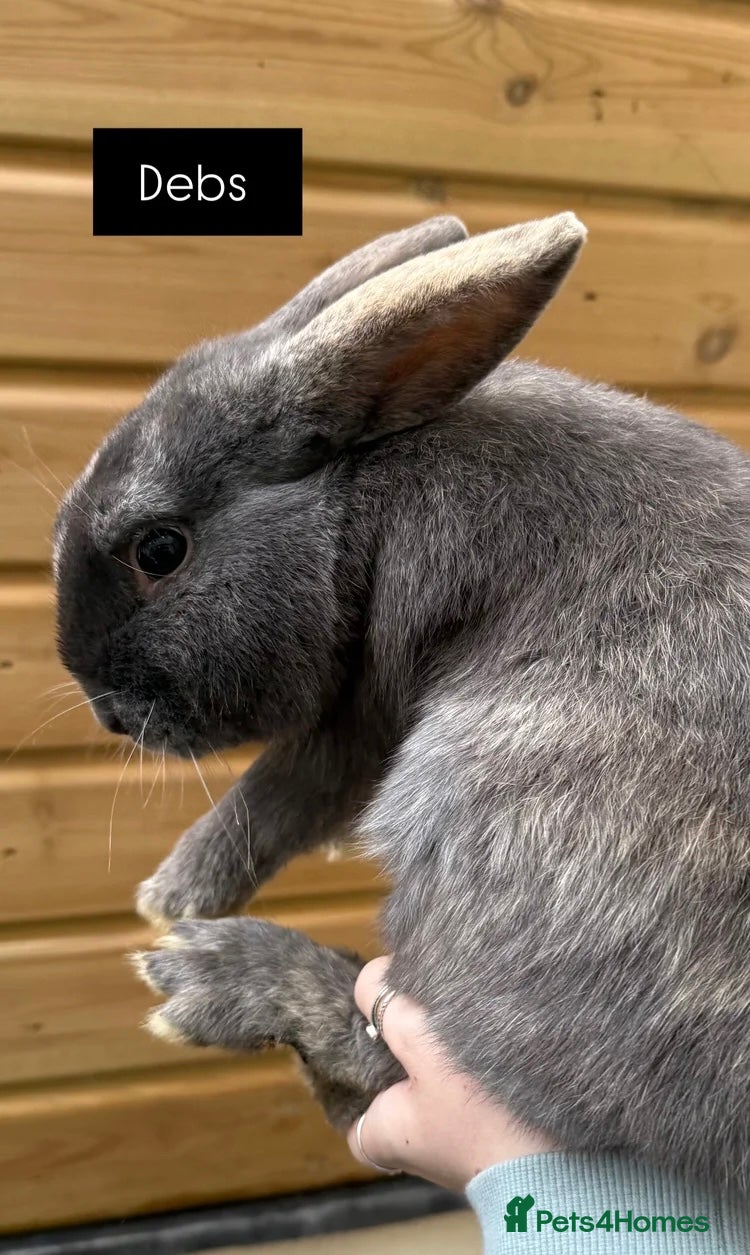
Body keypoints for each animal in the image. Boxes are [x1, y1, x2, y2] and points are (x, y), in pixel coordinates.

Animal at [54, 211, 750, 1193]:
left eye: (160, 549)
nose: (108, 712)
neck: (355, 497)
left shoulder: (364, 704)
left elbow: (282, 792)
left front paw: (173, 895)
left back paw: (212, 976)